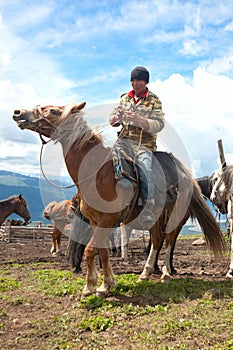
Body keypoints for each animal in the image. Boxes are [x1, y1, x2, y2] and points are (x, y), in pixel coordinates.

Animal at [12, 101, 226, 296]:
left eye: (53, 111)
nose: (18, 112)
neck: (98, 172)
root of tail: (185, 175)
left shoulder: (108, 220)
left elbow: (90, 250)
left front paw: (92, 286)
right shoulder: (97, 221)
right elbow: (102, 251)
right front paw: (105, 284)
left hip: (175, 215)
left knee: (169, 240)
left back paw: (165, 273)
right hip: (155, 217)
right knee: (157, 239)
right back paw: (145, 273)